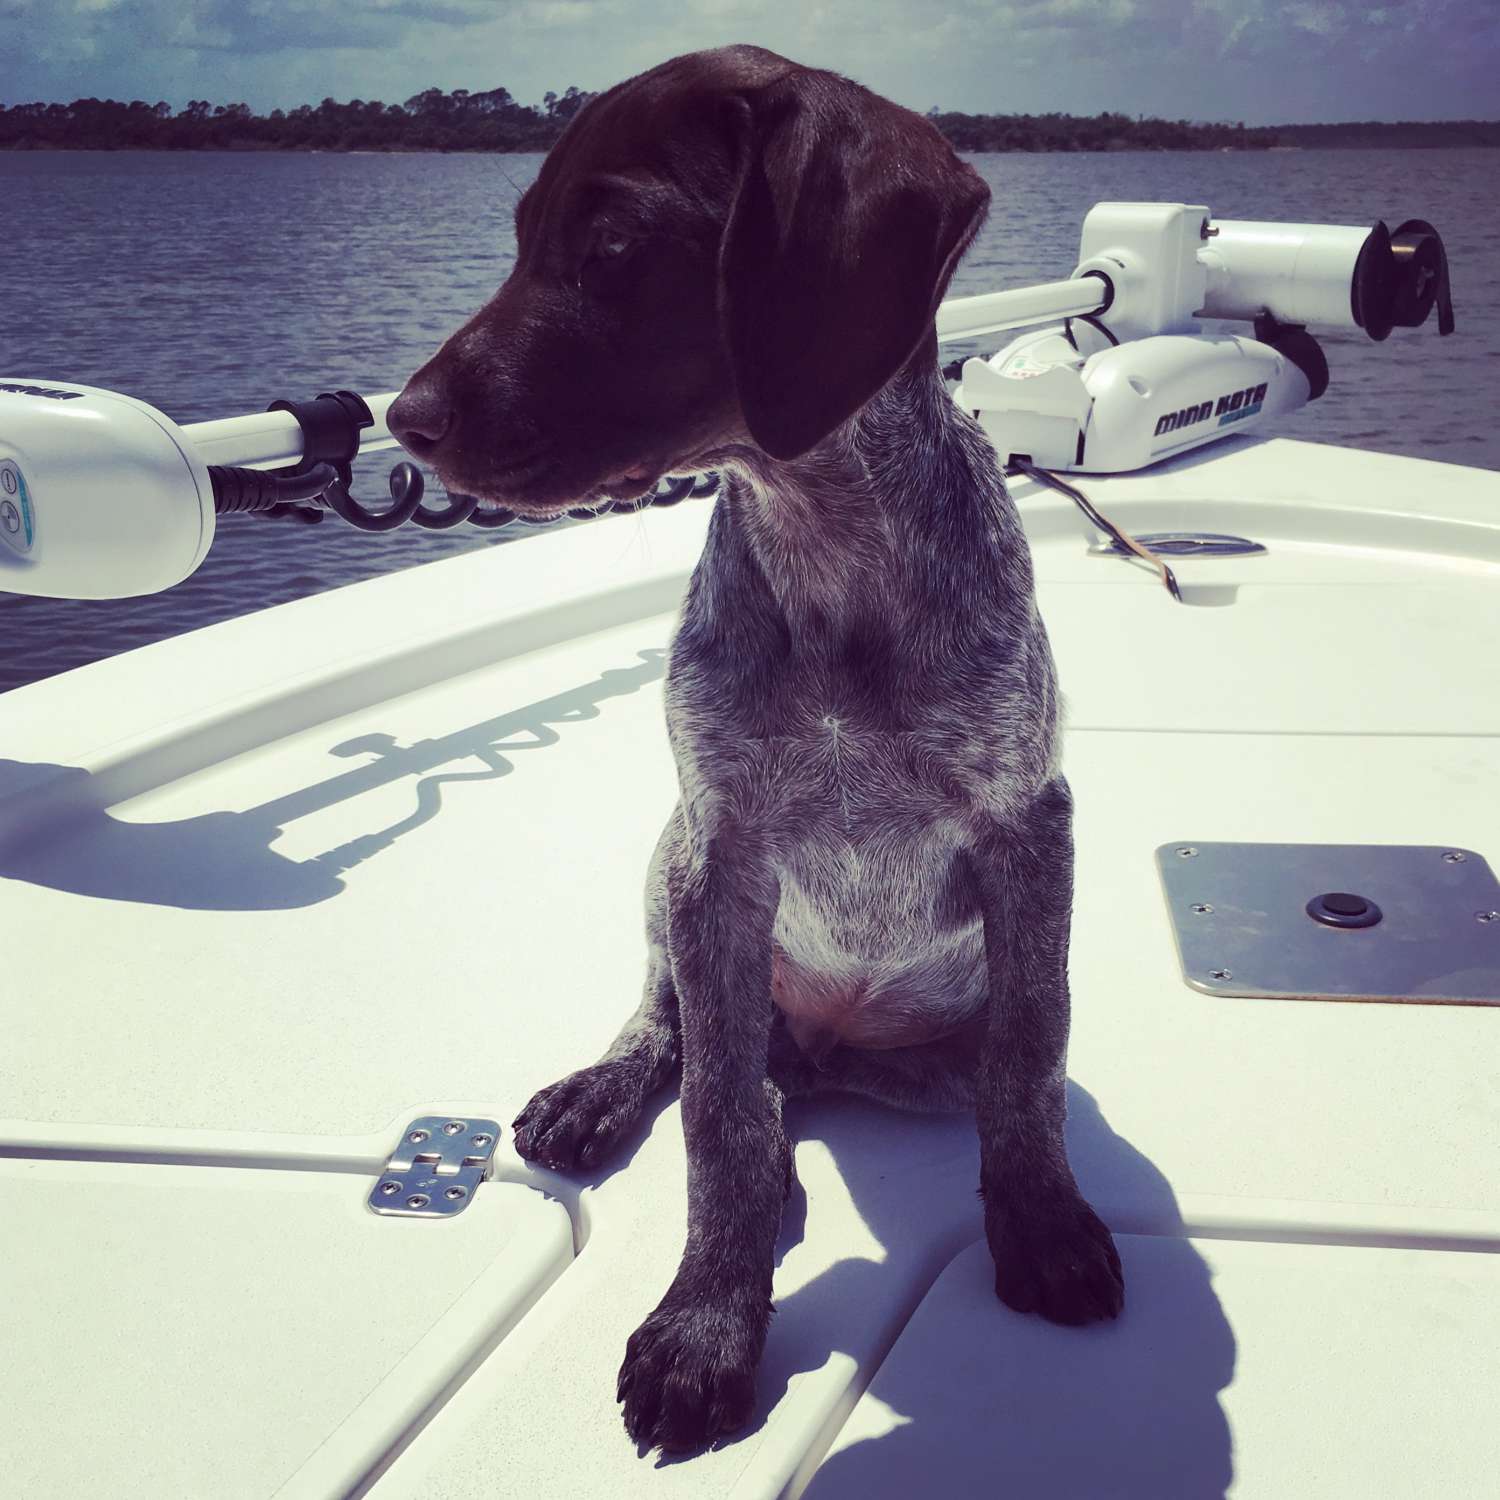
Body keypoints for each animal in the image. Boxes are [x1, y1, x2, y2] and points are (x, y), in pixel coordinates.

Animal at [390, 43, 1128, 1452]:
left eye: (614, 247)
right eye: (522, 240)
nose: (403, 420)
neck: (825, 541)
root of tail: (829, 1053)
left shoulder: (1034, 825)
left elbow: (1032, 1062)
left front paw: (1045, 1227)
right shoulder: (720, 844)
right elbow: (717, 1121)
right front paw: (707, 1324)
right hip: (668, 863)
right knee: (689, 1042)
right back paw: (607, 1092)